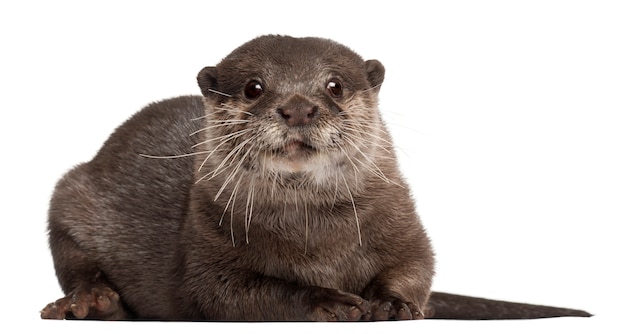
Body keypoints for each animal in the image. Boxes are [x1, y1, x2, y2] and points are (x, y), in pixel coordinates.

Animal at [40, 34, 588, 320]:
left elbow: (417, 267)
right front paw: (330, 300)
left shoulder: (404, 224)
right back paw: (92, 302)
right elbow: (233, 294)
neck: (318, 241)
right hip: (71, 194)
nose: (299, 107)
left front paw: (390, 303)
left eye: (334, 85)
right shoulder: (203, 240)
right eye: (254, 87)